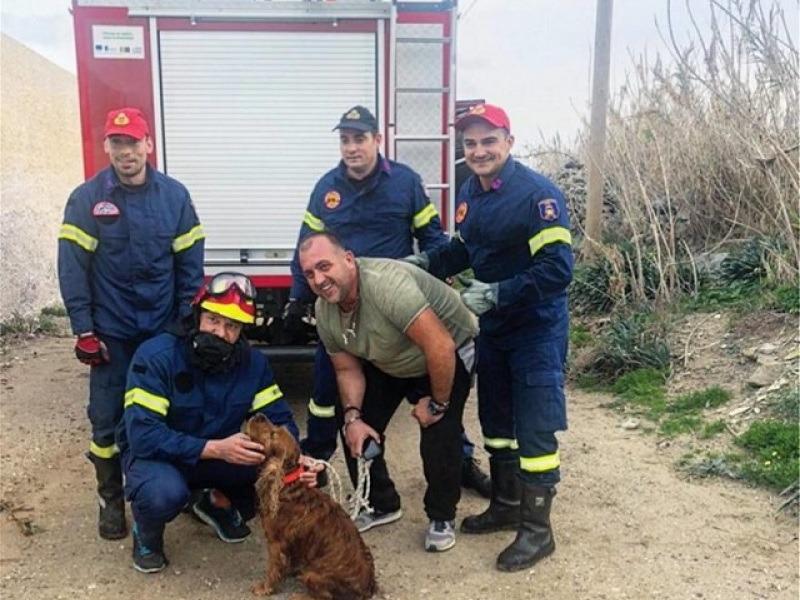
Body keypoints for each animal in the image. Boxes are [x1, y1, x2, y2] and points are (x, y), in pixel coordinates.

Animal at [245, 412, 376, 600]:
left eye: (273, 435)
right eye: (275, 427)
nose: (258, 414)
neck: (287, 483)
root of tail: (367, 589)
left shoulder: (275, 542)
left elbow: (273, 568)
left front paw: (265, 588)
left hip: (311, 575)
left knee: (324, 596)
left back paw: (299, 596)